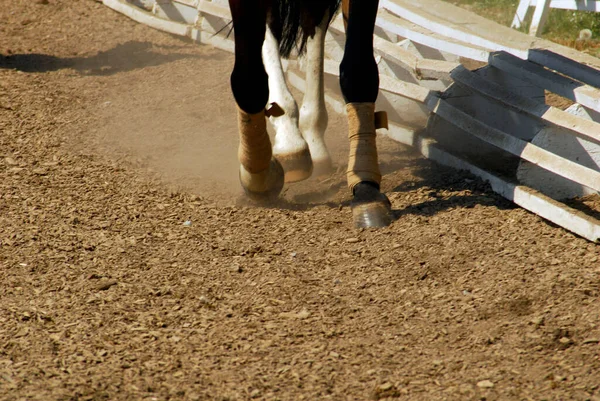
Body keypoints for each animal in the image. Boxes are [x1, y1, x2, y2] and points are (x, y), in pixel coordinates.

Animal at [227, 0, 392, 227]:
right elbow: (248, 81)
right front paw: (259, 176)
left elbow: (357, 68)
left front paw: (366, 190)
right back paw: (290, 140)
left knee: (314, 21)